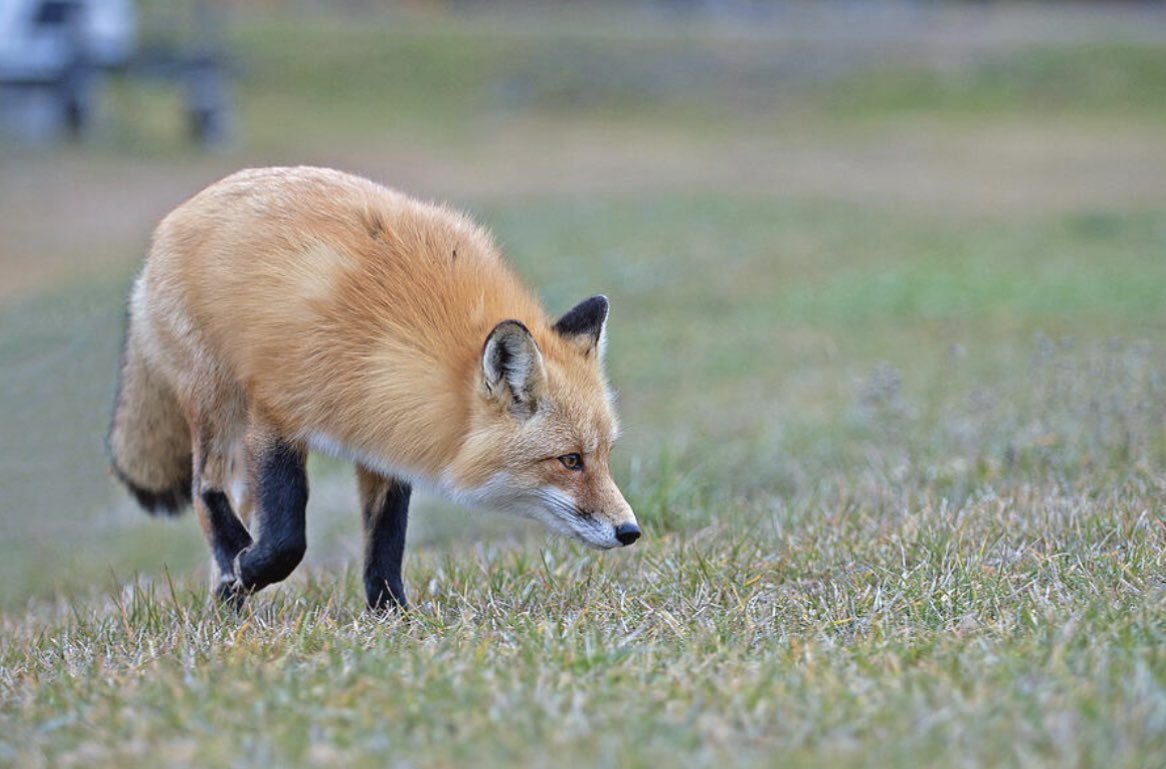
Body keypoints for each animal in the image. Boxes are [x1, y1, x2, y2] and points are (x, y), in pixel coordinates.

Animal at [108, 166, 639, 612]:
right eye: (570, 460)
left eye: (604, 456)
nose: (630, 530)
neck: (400, 335)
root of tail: (178, 216)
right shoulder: (278, 414)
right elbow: (287, 539)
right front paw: (249, 567)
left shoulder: (385, 432)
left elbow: (385, 542)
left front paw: (393, 617)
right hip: (216, 400)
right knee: (206, 489)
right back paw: (233, 574)